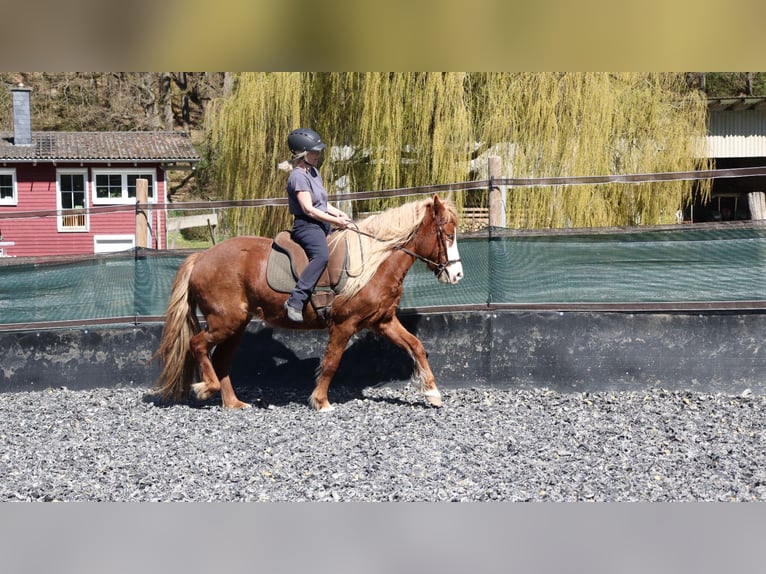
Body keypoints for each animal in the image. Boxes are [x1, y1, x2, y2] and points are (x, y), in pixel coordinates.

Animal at [152, 194, 464, 412]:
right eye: (448, 235)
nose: (457, 274)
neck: (374, 262)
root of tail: (201, 257)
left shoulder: (383, 321)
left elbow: (416, 346)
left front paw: (433, 394)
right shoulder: (344, 325)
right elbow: (331, 363)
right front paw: (321, 402)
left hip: (236, 325)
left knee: (221, 359)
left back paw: (232, 403)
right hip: (224, 322)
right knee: (198, 345)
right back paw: (206, 388)